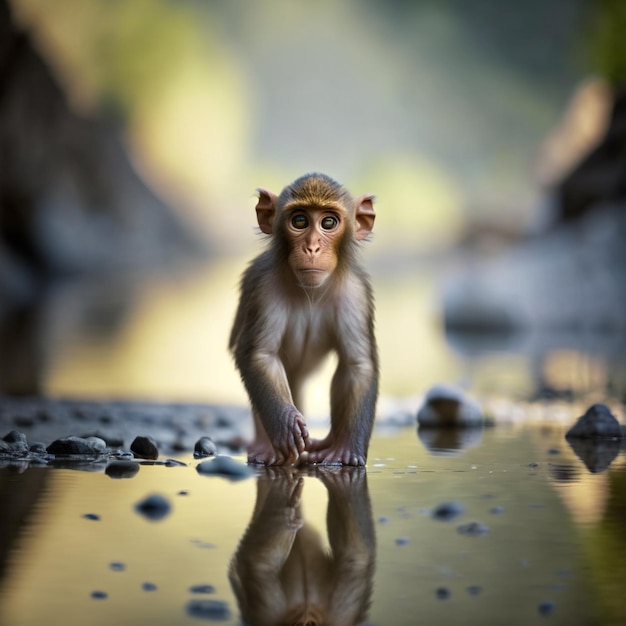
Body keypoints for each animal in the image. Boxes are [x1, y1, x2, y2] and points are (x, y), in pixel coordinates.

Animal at [228, 171, 376, 464]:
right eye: (299, 221)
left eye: (328, 222)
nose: (312, 247)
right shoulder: (264, 287)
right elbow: (260, 355)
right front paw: (285, 426)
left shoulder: (355, 294)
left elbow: (357, 365)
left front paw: (347, 448)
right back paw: (266, 446)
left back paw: (329, 442)